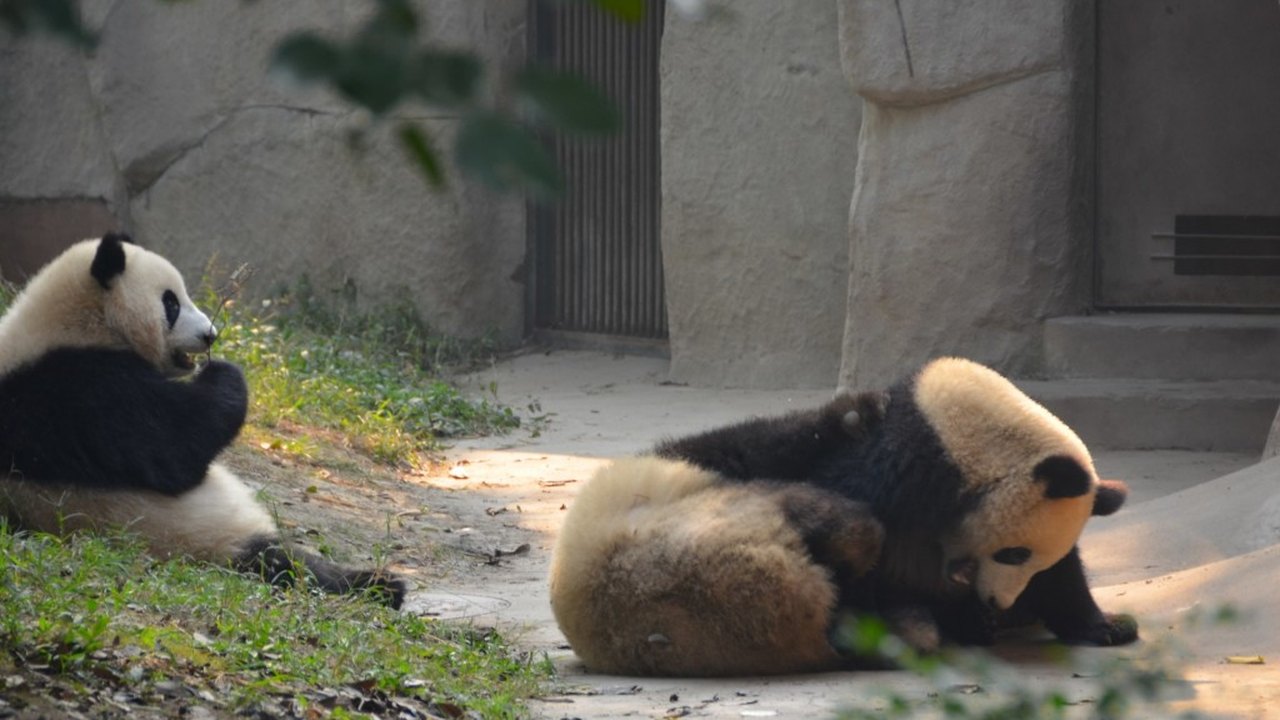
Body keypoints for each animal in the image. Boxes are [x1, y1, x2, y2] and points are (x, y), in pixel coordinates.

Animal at [0, 234, 405, 607]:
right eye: (171, 303)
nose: (210, 335)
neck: (76, 323)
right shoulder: (82, 391)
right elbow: (176, 446)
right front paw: (224, 372)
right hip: (200, 533)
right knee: (288, 565)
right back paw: (378, 585)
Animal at [549, 357, 1135, 676]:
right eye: (1012, 552)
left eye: (1028, 561)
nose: (998, 601)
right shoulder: (902, 471)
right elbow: (876, 544)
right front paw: (968, 617)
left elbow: (1065, 575)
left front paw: (1103, 626)